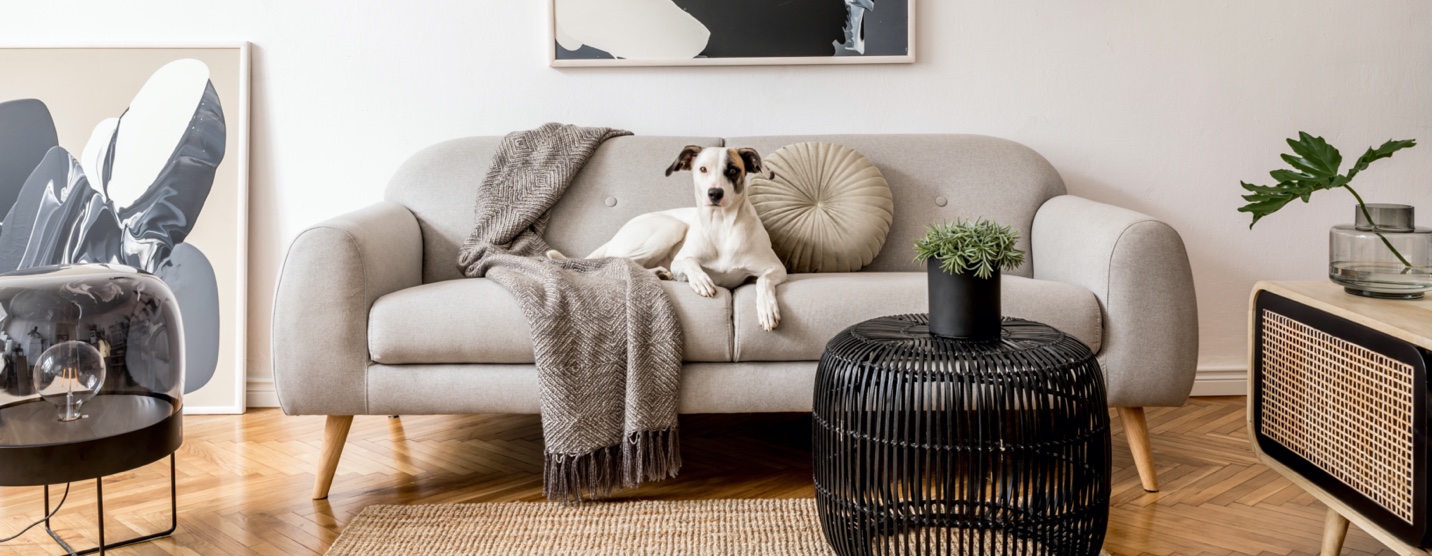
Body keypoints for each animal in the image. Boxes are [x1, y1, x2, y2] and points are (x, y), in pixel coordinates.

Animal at [547, 145, 790, 332]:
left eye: (732, 170)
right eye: (703, 169)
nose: (714, 193)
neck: (721, 225)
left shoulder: (776, 268)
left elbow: (763, 281)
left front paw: (767, 309)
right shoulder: (680, 262)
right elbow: (690, 263)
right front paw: (701, 280)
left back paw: (659, 273)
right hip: (672, 227)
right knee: (618, 261)